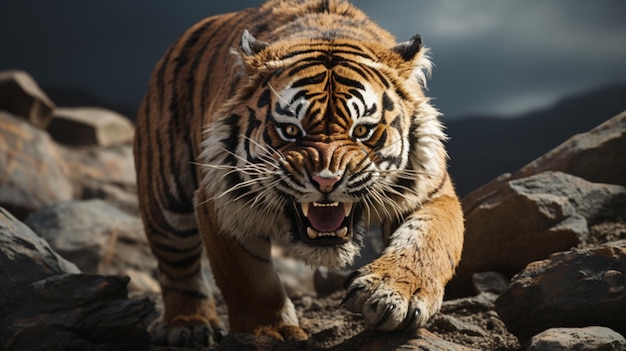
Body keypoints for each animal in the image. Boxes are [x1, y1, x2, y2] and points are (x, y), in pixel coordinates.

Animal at [133, 0, 464, 346]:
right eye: (291, 130)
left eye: (362, 130)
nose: (326, 180)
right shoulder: (222, 200)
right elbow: (248, 278)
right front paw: (270, 331)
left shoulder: (431, 192)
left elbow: (427, 241)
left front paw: (395, 295)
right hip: (165, 200)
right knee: (177, 266)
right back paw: (189, 324)